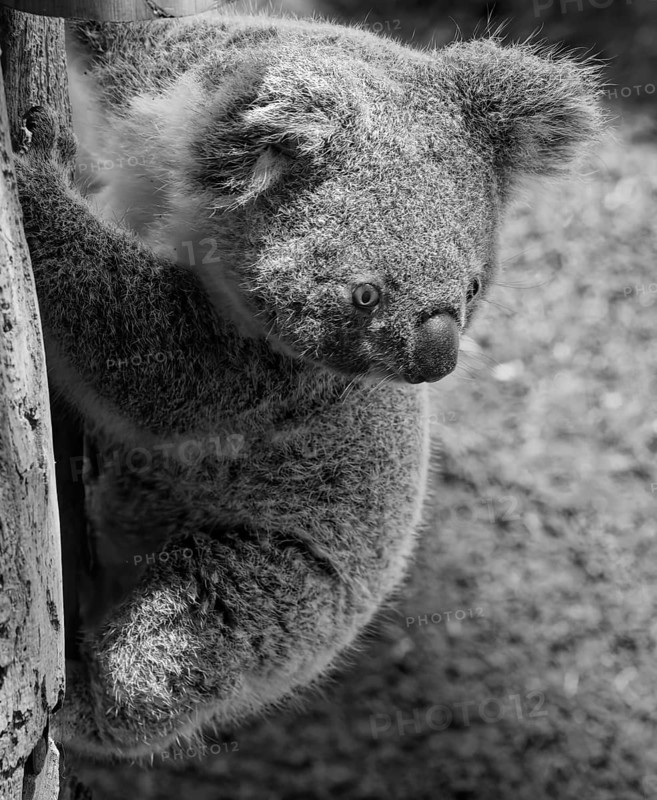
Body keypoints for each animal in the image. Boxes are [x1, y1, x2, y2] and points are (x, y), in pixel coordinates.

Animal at [13, 7, 603, 761]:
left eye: (473, 288)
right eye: (364, 293)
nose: (434, 361)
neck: (183, 191)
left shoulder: (282, 376)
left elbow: (157, 367)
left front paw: (29, 182)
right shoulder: (152, 79)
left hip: (279, 593)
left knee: (171, 653)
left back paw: (77, 704)